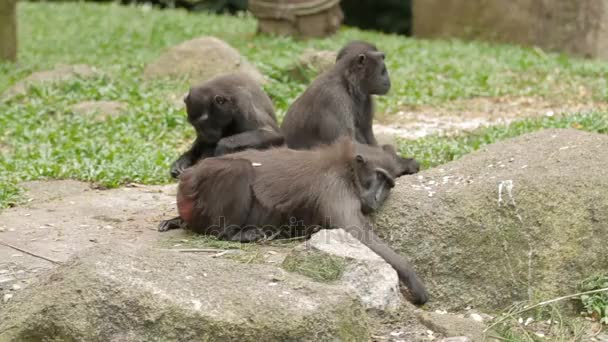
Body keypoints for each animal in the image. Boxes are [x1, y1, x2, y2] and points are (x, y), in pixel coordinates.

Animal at [159, 138, 430, 304]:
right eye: (379, 178)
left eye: (389, 184)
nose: (377, 198)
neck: (345, 165)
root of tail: (187, 177)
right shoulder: (335, 187)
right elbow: (355, 231)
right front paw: (412, 277)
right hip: (195, 195)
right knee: (239, 169)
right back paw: (232, 233)